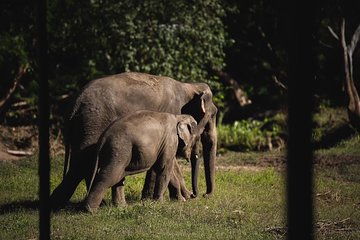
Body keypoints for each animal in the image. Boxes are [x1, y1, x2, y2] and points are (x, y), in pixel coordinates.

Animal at [50, 71, 217, 208]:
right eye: (213, 114)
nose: (202, 194)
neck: (189, 86)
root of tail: (73, 106)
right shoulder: (171, 113)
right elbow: (168, 161)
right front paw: (182, 198)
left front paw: (148, 199)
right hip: (93, 123)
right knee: (83, 164)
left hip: (84, 127)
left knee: (79, 165)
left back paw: (57, 204)